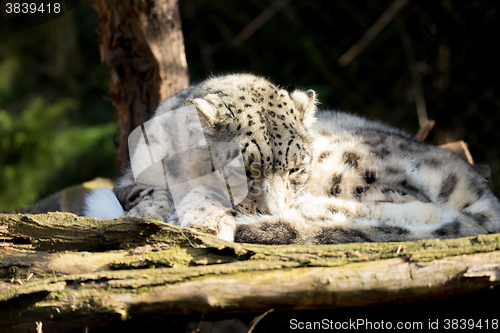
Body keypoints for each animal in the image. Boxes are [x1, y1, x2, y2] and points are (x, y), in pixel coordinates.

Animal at [85, 73, 500, 244]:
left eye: (297, 169)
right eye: (246, 170)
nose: (273, 208)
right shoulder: (132, 176)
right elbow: (145, 193)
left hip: (354, 165)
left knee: (415, 209)